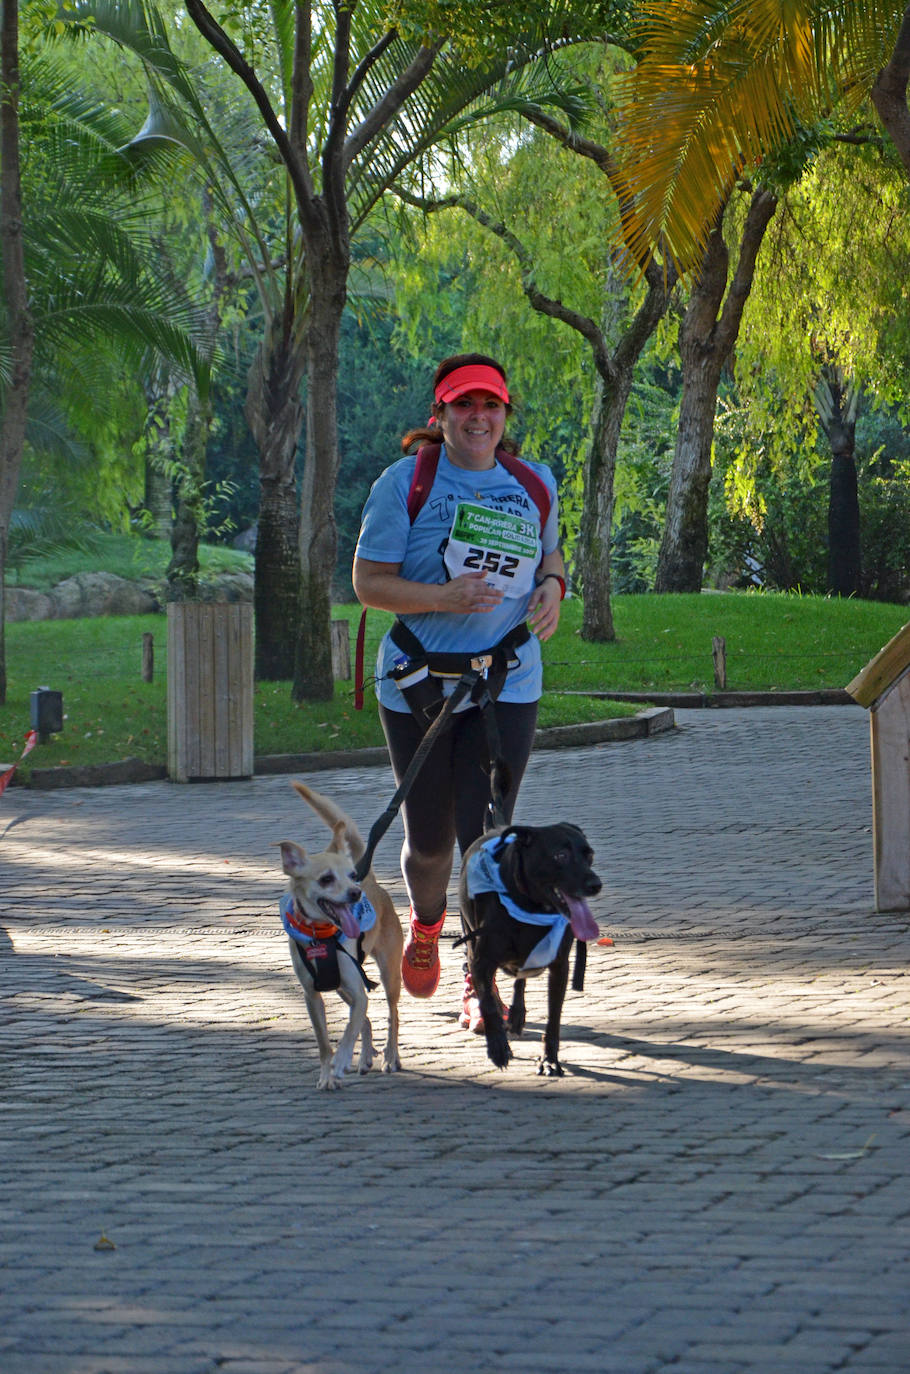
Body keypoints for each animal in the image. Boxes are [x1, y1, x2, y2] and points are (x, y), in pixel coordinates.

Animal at [280, 785, 404, 1082]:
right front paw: (327, 1074)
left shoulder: (359, 994)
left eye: (349, 875)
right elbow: (325, 1042)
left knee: (392, 1015)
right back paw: (366, 1056)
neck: (320, 934)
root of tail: (371, 881)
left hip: (389, 976)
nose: (355, 892)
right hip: (339, 987)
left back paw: (390, 1056)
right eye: (326, 879)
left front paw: (341, 1059)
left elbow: (349, 1030)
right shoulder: (312, 997)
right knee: (366, 1019)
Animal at [459, 824, 602, 1071]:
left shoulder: (559, 966)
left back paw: (517, 1016)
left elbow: (554, 1017)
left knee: (521, 980)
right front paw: (498, 1049)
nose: (596, 885)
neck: (533, 908)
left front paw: (550, 1060)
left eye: (589, 854)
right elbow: (488, 1005)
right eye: (560, 855)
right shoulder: (481, 963)